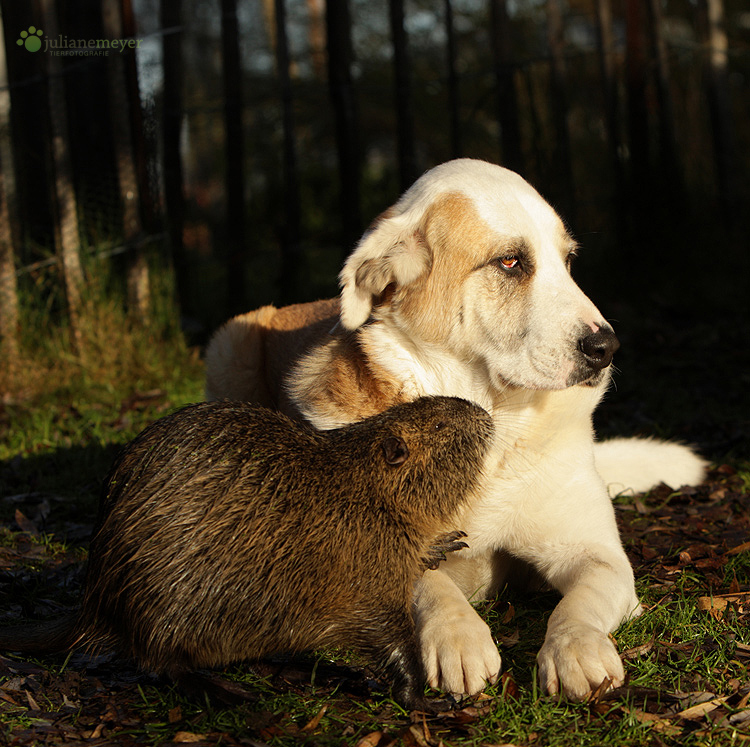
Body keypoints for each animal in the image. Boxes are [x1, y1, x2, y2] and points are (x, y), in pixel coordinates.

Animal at [203, 159, 708, 700]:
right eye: (510, 262)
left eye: (568, 260)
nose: (607, 348)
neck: (492, 430)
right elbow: (430, 582)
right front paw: (458, 637)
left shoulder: (598, 556)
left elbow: (579, 604)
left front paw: (576, 650)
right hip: (230, 344)